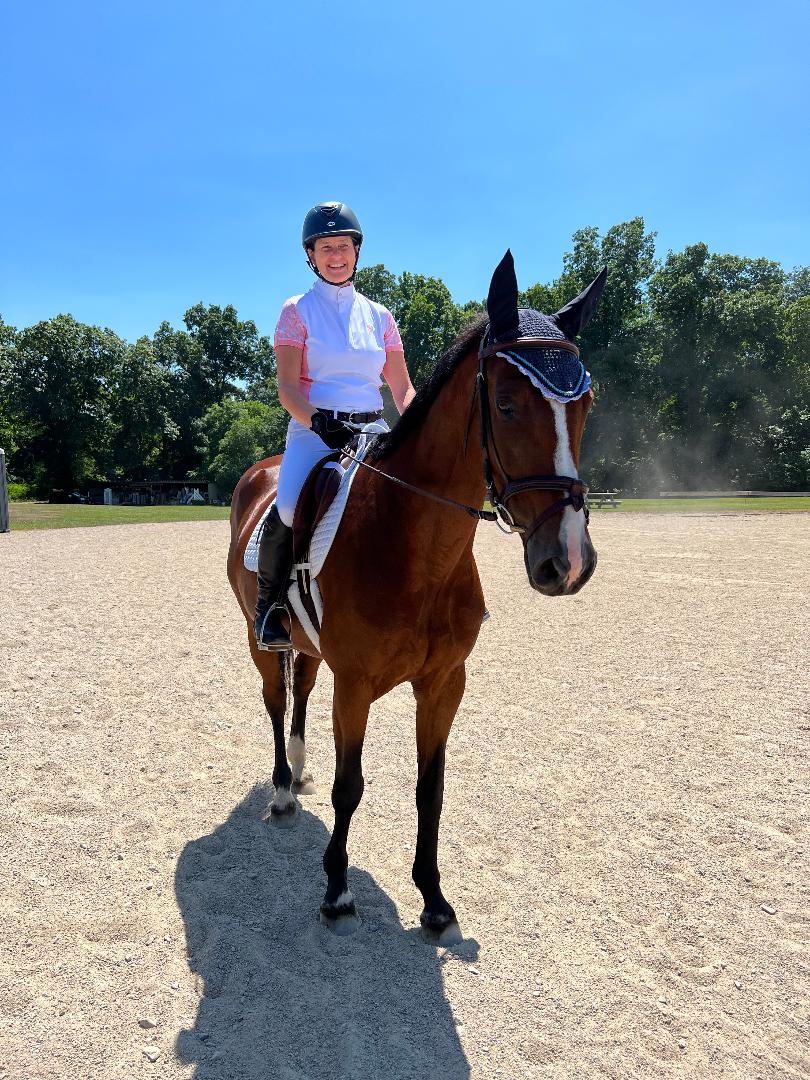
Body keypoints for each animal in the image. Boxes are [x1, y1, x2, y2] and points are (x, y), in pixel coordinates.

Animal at [225, 252, 604, 937]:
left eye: (585, 403)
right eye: (506, 404)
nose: (567, 562)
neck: (415, 549)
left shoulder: (444, 682)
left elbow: (432, 788)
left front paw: (433, 896)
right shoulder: (355, 686)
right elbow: (351, 786)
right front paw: (337, 890)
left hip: (310, 648)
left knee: (299, 693)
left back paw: (299, 766)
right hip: (258, 638)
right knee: (274, 698)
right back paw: (283, 789)